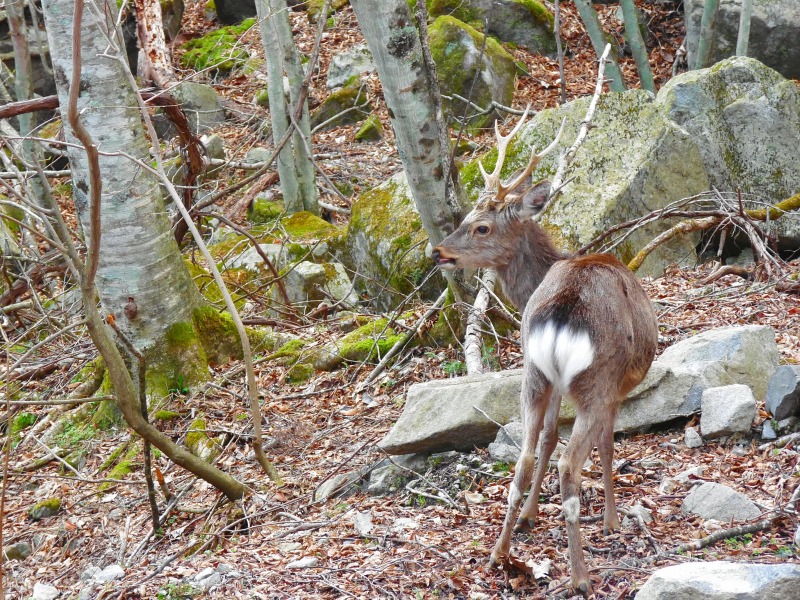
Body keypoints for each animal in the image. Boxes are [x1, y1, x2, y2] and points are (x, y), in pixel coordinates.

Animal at [432, 112, 656, 596]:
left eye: (480, 225)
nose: (437, 251)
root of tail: (563, 308)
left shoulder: (553, 383)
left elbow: (549, 439)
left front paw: (531, 517)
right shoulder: (616, 389)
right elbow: (606, 445)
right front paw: (611, 521)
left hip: (533, 373)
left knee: (524, 457)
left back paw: (499, 553)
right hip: (596, 379)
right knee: (570, 464)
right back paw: (580, 577)